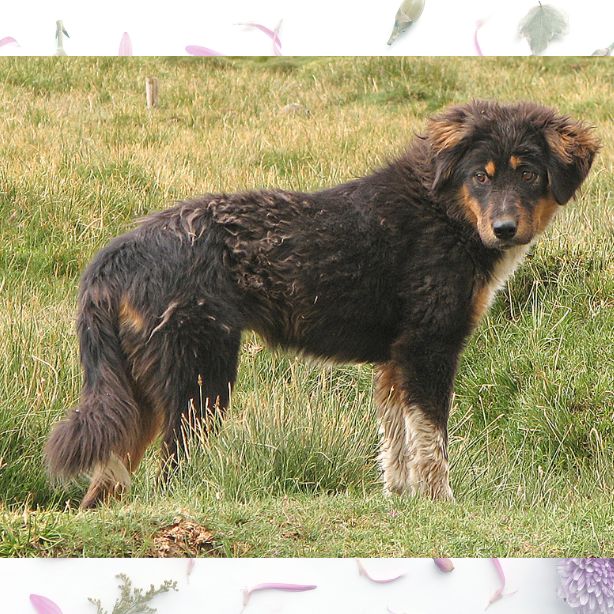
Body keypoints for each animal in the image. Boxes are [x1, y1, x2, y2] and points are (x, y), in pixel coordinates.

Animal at [44, 101, 600, 508]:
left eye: (527, 174)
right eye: (480, 177)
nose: (505, 228)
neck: (444, 211)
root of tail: (116, 254)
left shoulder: (394, 362)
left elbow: (396, 446)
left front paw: (400, 503)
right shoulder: (427, 350)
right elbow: (431, 444)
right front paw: (439, 503)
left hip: (138, 394)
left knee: (106, 486)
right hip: (200, 379)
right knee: (171, 473)